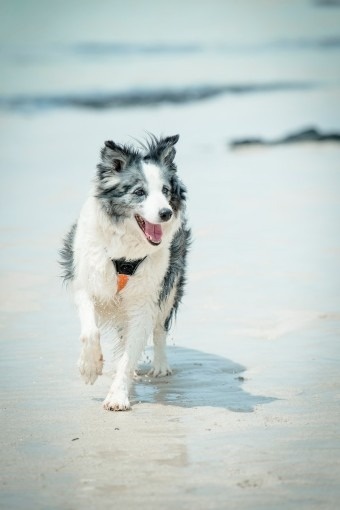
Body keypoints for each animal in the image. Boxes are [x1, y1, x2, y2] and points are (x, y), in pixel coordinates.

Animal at [59, 134, 190, 410]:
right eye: (139, 192)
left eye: (165, 191)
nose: (166, 213)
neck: (126, 249)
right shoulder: (85, 283)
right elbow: (90, 331)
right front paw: (89, 368)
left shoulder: (145, 300)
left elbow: (132, 350)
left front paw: (118, 396)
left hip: (171, 284)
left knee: (160, 328)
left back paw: (160, 366)